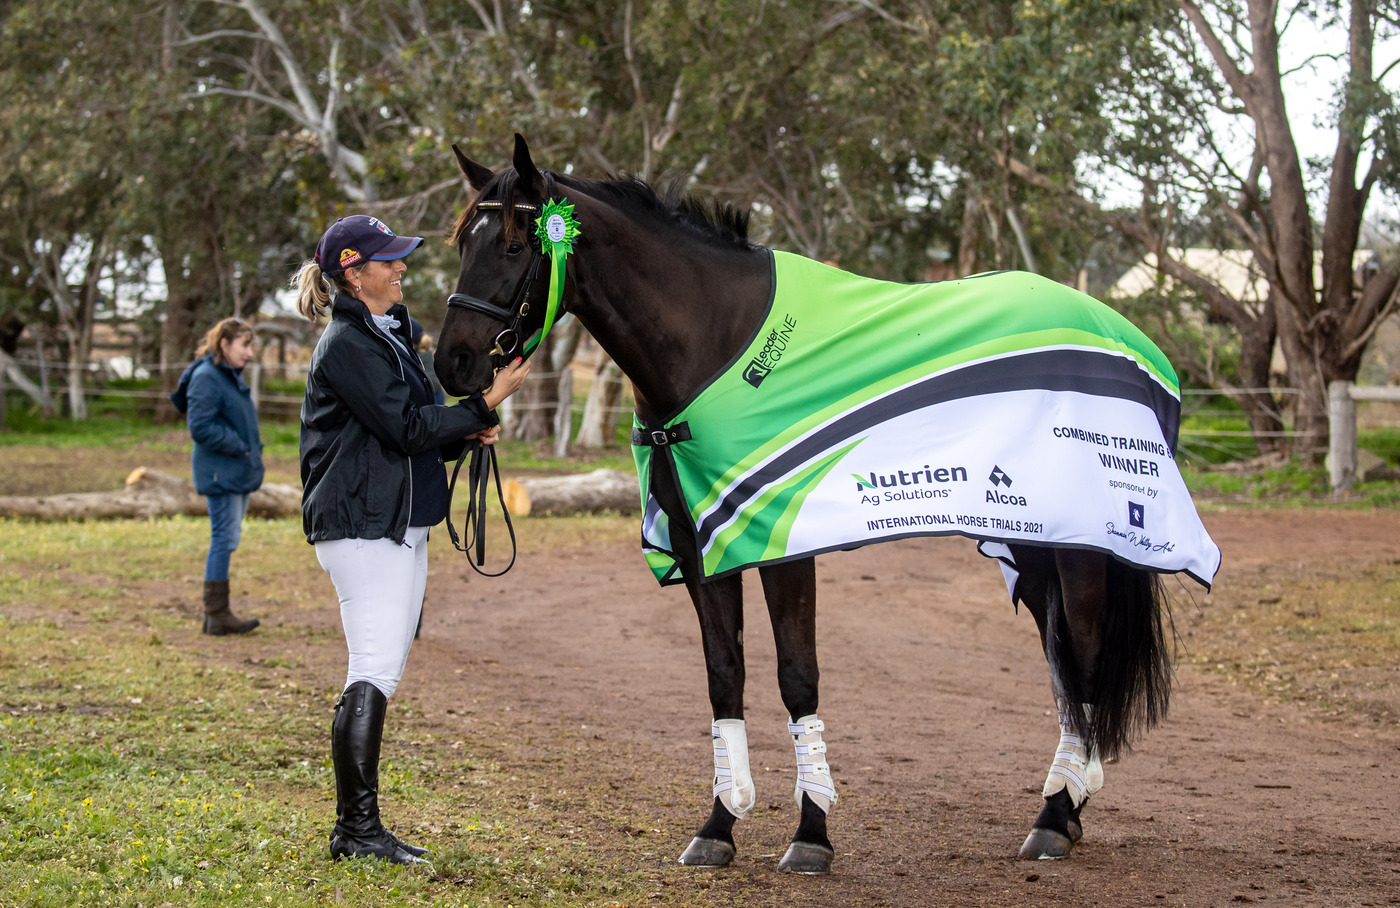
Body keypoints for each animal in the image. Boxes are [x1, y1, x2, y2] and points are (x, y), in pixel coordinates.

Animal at [435, 134, 1218, 874]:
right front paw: (718, 826)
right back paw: (1068, 805)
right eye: (463, 241)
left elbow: (796, 677)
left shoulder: (780, 541)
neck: (716, 344)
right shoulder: (702, 546)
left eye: (513, 244)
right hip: (1031, 541)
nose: (454, 364)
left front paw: (811, 834)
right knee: (1063, 667)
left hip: (1085, 548)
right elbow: (725, 676)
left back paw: (1056, 817)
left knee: (1082, 661)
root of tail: (1127, 338)